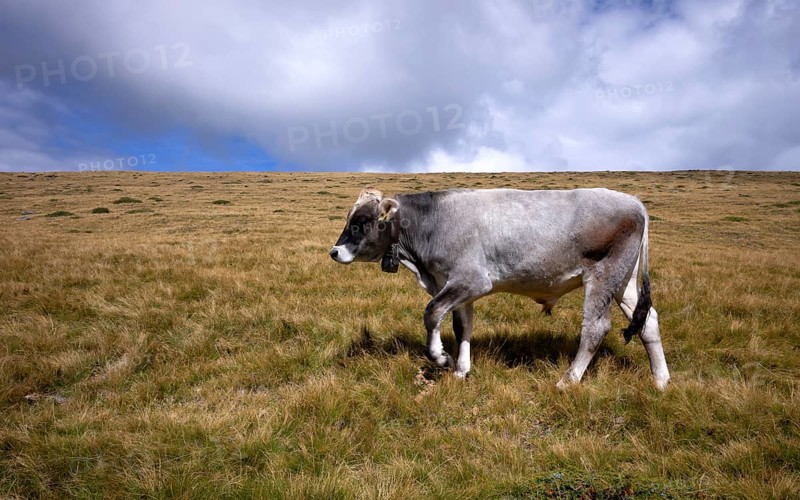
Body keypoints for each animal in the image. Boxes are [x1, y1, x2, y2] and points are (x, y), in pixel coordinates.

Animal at [329, 187, 670, 390]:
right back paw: (661, 380)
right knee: (648, 321)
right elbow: (461, 326)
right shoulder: (455, 285)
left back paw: (568, 380)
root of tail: (634, 202)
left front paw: (441, 358)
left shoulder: (472, 280)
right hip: (623, 281)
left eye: (361, 221)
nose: (334, 252)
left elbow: (432, 313)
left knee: (596, 327)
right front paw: (461, 370)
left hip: (603, 276)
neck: (435, 222)